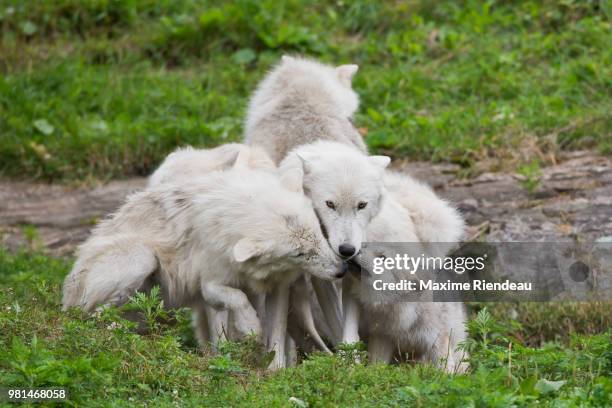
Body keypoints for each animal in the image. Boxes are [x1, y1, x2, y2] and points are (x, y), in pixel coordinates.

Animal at [62, 147, 344, 370]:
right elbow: (237, 301)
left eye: (318, 233)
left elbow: (274, 334)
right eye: (299, 253)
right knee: (92, 317)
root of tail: (66, 293)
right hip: (142, 259)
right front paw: (248, 330)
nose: (341, 270)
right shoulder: (209, 285)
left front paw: (274, 372)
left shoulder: (278, 288)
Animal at [340, 171, 468, 372]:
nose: (354, 251)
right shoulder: (382, 339)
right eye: (366, 246)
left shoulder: (437, 342)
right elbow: (377, 367)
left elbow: (444, 371)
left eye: (383, 258)